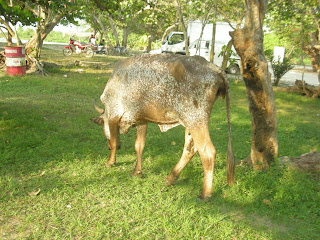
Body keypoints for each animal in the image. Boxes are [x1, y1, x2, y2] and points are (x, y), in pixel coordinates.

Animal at [92, 53, 235, 200]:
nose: (107, 147)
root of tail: (215, 68)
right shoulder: (141, 120)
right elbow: (139, 146)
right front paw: (137, 171)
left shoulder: (114, 114)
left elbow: (114, 141)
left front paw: (111, 162)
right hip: (191, 122)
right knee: (190, 149)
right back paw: (171, 178)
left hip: (195, 120)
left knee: (207, 151)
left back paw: (205, 193)